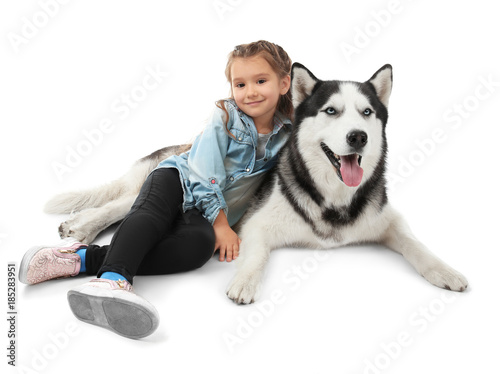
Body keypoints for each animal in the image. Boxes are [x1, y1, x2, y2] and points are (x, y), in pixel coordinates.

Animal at [44, 64, 468, 304]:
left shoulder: (386, 219)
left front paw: (445, 271)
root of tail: (186, 143)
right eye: (331, 111)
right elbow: (256, 255)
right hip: (169, 179)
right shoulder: (259, 224)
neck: (332, 198)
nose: (358, 137)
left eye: (366, 113)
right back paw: (81, 227)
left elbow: (414, 243)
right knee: (125, 204)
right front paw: (245, 283)